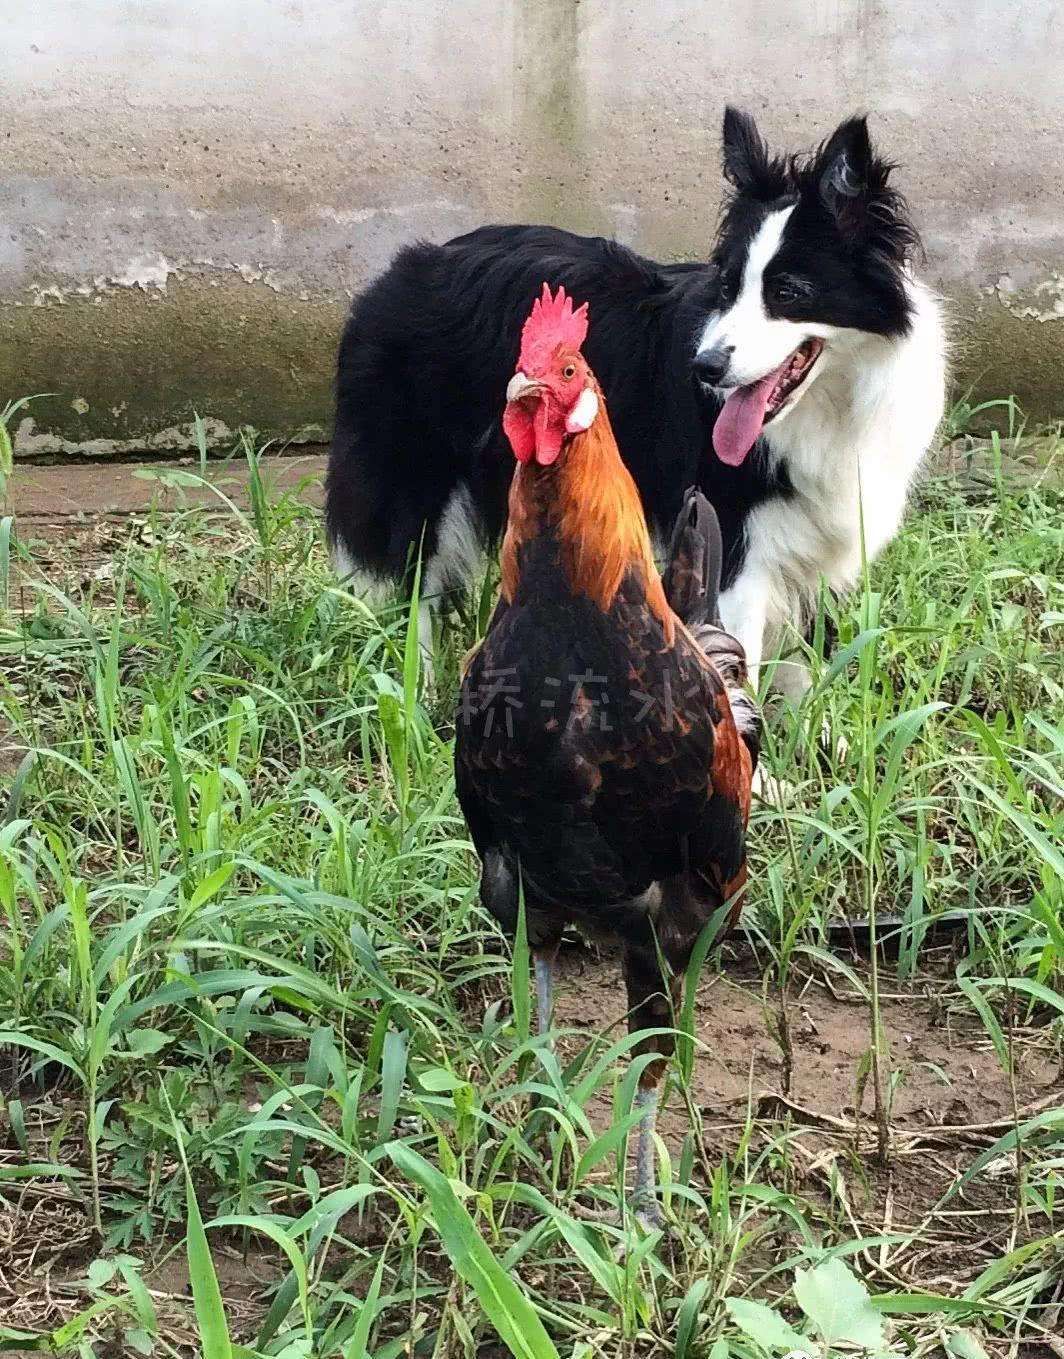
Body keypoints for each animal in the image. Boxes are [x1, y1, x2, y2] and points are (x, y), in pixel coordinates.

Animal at [326, 108, 951, 701]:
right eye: (728, 288)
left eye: (788, 292)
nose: (706, 368)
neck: (829, 401)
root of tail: (397, 272)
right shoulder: (735, 539)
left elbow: (804, 665)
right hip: (411, 470)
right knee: (415, 588)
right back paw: (417, 696)